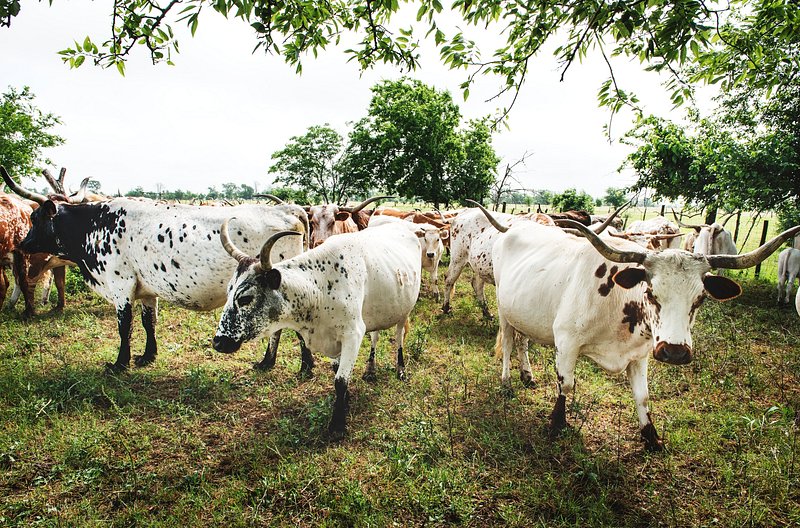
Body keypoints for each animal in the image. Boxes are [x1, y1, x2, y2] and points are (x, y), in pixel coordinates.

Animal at [6, 169, 312, 372]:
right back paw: (268, 362)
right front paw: (147, 356)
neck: (96, 225)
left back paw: (303, 366)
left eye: (35, 216)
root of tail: (291, 209)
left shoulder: (120, 286)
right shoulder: (145, 290)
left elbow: (124, 326)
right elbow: (148, 322)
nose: (23, 243)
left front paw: (119, 363)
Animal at [476, 200, 800, 452]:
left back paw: (527, 374)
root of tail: (516, 228)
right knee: (508, 342)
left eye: (700, 299)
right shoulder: (567, 342)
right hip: (504, 309)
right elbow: (565, 384)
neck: (618, 301)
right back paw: (507, 381)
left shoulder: (641, 354)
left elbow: (642, 396)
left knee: (523, 341)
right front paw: (556, 425)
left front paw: (651, 437)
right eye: (651, 293)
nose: (675, 351)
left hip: (525, 312)